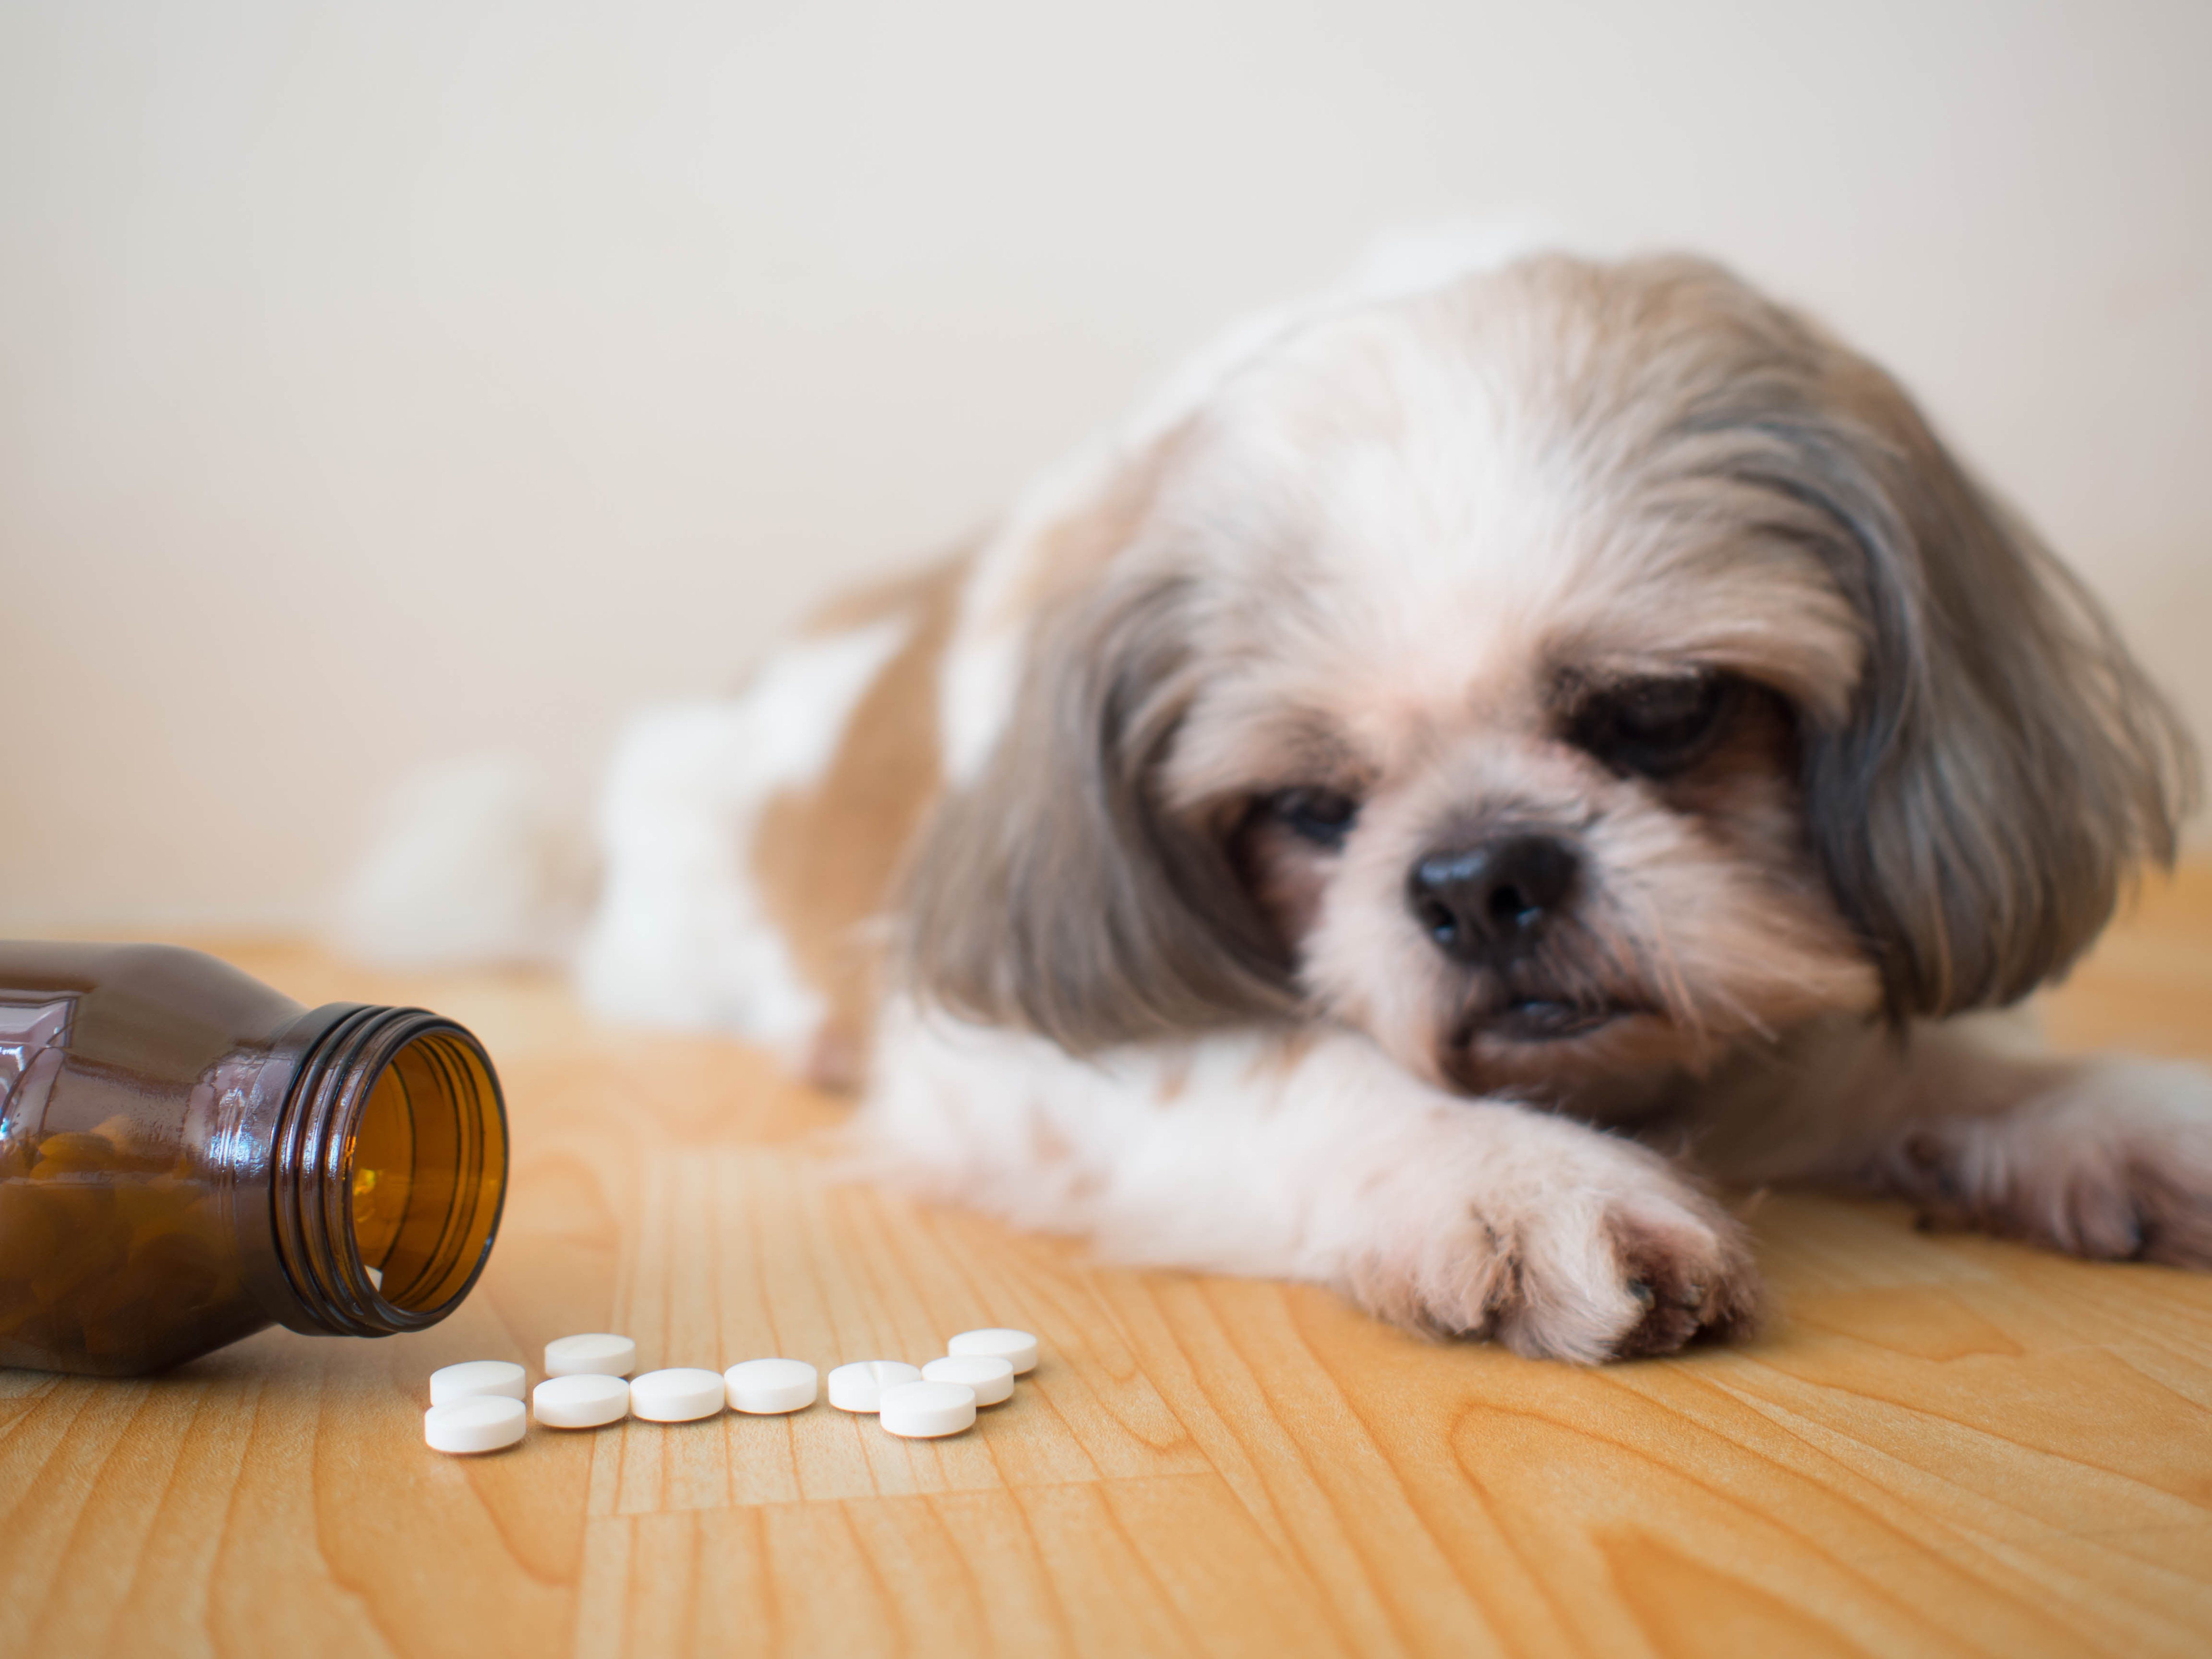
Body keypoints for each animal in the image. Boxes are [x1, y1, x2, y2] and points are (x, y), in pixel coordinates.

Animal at [580, 246, 2203, 1363]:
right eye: (1308, 803)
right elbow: (1291, 1065)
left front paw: (2100, 1115)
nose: (1480, 877)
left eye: (1661, 712)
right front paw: (1504, 1172)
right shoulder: (1017, 1056)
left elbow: (1930, 1061)